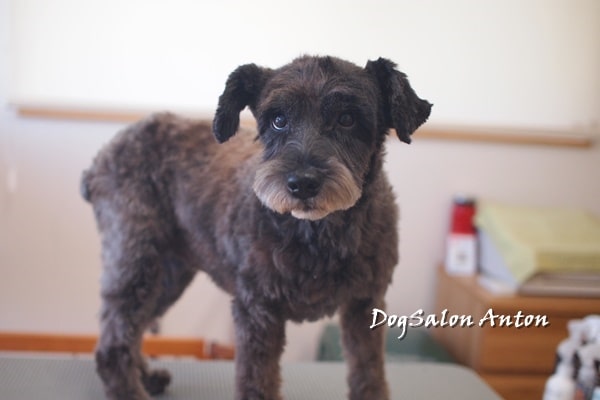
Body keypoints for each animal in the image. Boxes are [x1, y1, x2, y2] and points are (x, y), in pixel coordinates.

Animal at [82, 55, 431, 400]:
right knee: (114, 341)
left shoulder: (365, 304)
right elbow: (256, 381)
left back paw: (147, 376)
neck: (316, 231)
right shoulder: (258, 310)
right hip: (136, 259)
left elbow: (368, 371)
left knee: (134, 327)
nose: (302, 184)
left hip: (168, 274)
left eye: (347, 119)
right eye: (278, 120)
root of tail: (100, 159)